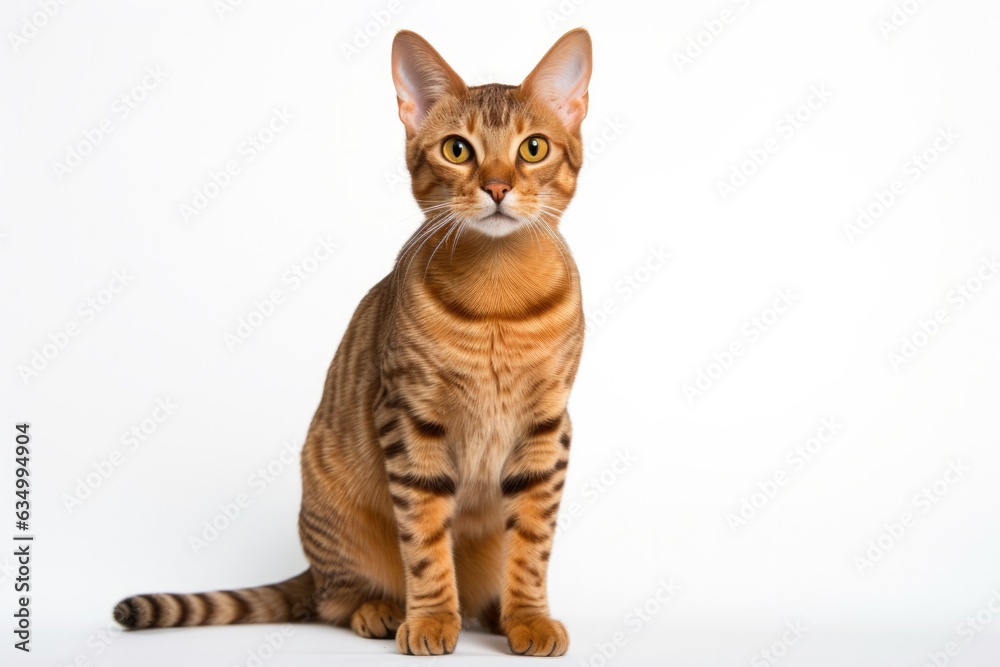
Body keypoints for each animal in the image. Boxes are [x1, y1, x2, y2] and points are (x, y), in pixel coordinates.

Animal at [113, 27, 588, 656]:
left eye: (533, 148)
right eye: (457, 150)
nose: (497, 187)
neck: (498, 302)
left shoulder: (546, 425)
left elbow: (532, 541)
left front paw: (529, 618)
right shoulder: (410, 417)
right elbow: (426, 540)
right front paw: (431, 619)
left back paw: (491, 613)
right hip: (336, 512)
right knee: (335, 598)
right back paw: (381, 610)